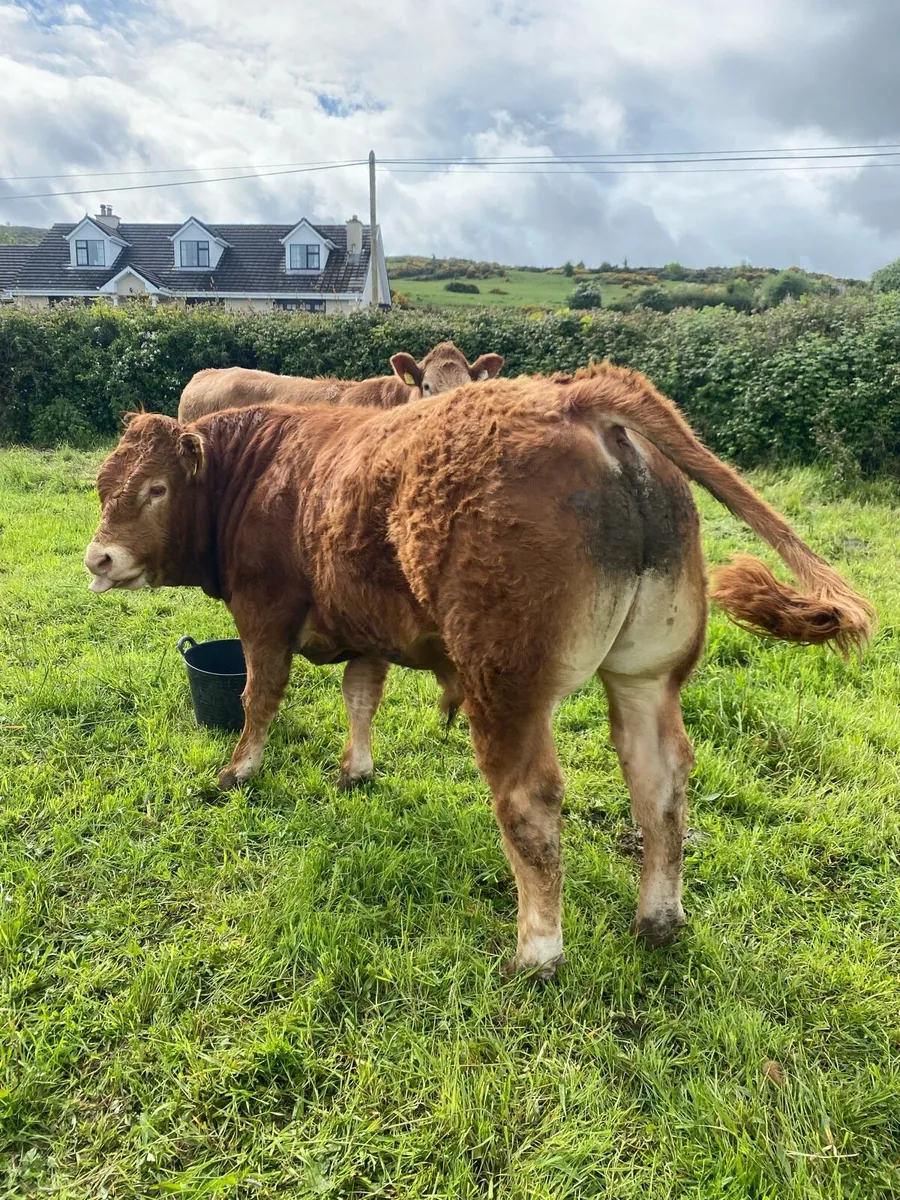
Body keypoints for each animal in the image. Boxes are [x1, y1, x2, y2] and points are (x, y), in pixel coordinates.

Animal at [84, 363, 874, 977]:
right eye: (102, 486)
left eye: (155, 489)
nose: (98, 559)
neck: (265, 473)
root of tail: (580, 399)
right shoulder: (362, 623)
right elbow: (360, 695)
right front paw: (356, 770)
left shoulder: (264, 612)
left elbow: (260, 696)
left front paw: (237, 773)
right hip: (646, 674)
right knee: (660, 783)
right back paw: (658, 919)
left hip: (505, 682)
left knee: (530, 801)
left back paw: (538, 951)